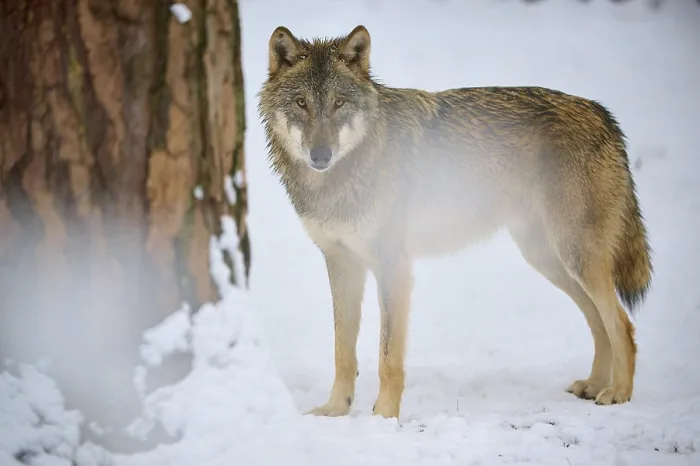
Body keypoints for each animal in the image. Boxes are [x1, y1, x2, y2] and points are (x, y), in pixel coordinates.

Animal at [257, 25, 653, 420]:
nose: (320, 155)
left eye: (338, 103)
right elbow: (342, 351)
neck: (347, 174)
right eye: (302, 103)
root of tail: (602, 112)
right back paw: (594, 385)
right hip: (550, 260)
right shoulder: (342, 263)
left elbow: (388, 358)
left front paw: (384, 417)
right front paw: (335, 411)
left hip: (576, 258)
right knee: (599, 323)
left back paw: (618, 393)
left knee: (623, 325)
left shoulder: (392, 265)